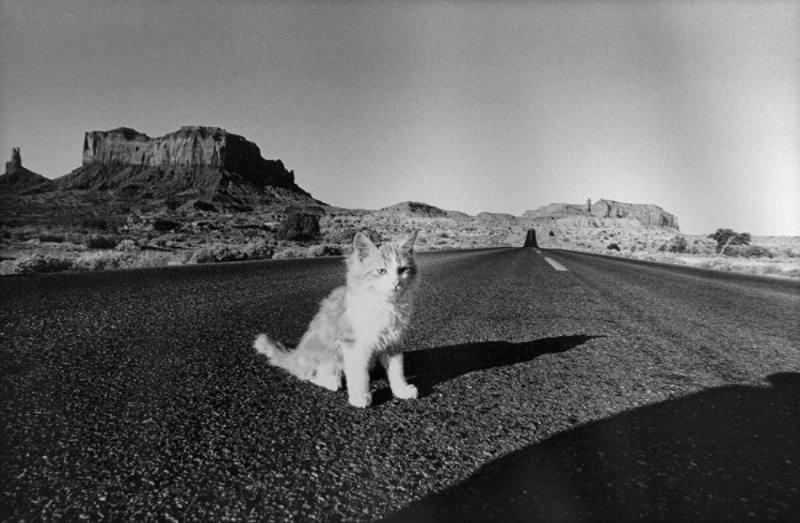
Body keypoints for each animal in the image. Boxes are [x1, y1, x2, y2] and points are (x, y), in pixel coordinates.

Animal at [255, 230, 418, 410]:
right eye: (382, 271)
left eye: (402, 270)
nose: (396, 283)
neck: (385, 304)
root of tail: (296, 356)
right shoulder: (353, 344)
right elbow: (358, 374)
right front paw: (360, 396)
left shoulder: (393, 340)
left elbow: (397, 369)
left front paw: (401, 389)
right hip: (329, 356)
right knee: (308, 374)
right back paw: (331, 381)